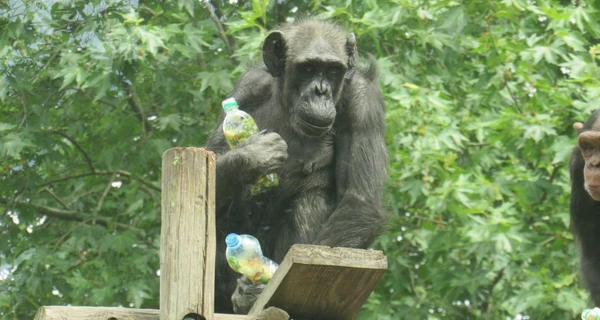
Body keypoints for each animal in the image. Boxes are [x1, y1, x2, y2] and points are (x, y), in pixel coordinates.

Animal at [204, 18, 386, 314]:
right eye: (308, 68)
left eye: (333, 71)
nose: (320, 91)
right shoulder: (247, 87)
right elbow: (206, 165)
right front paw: (252, 154)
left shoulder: (363, 102)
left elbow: (359, 202)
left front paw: (255, 292)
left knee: (309, 201)